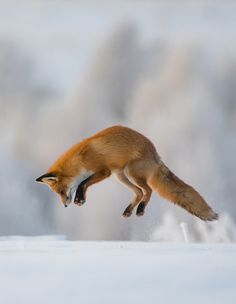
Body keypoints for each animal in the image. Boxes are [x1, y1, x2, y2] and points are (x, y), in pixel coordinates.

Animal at [36, 125, 218, 221]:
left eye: (61, 191)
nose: (65, 205)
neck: (80, 160)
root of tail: (155, 153)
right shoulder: (106, 173)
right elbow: (84, 183)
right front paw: (80, 199)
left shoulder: (104, 171)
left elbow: (83, 183)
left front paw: (79, 199)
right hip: (121, 176)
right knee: (139, 192)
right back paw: (129, 211)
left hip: (130, 172)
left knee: (148, 190)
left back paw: (140, 210)